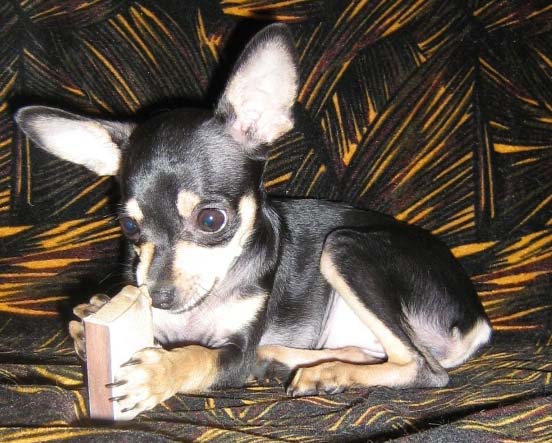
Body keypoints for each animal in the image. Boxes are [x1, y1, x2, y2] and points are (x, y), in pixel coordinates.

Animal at [15, 23, 492, 416]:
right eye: (130, 228)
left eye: (211, 220)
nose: (161, 297)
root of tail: (478, 322)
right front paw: (89, 317)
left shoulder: (235, 351)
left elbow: (199, 356)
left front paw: (157, 374)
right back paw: (299, 363)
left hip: (345, 247)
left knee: (423, 368)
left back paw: (323, 370)